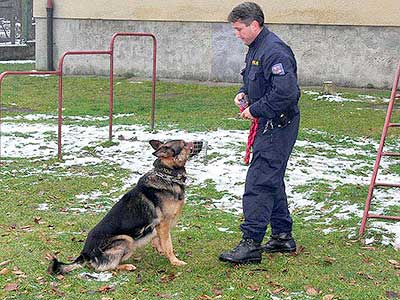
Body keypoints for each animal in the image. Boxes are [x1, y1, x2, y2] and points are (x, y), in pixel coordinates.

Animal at [49, 139, 203, 274]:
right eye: (185, 144)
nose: (202, 142)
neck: (167, 174)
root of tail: (85, 253)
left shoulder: (159, 227)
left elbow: (159, 241)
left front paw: (161, 251)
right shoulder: (164, 224)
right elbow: (169, 245)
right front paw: (174, 261)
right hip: (126, 240)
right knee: (103, 267)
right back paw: (127, 266)